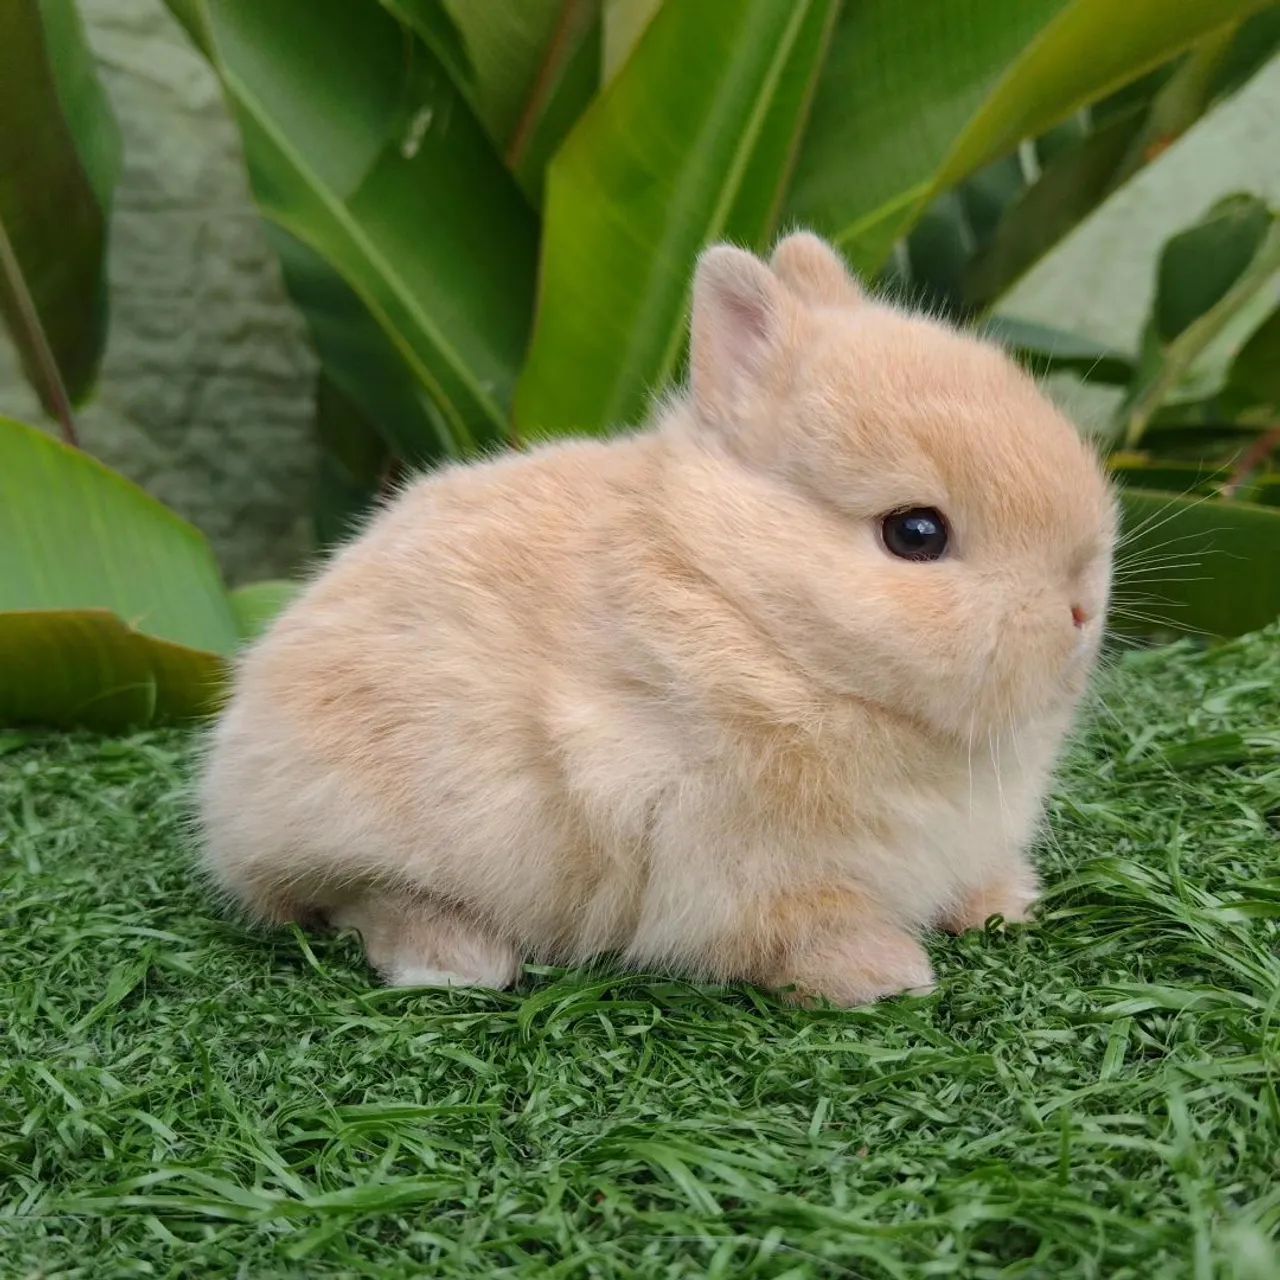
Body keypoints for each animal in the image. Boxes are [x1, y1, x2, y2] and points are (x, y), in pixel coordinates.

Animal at [199, 231, 1114, 1006]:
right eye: (915, 533)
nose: (1081, 608)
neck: (758, 620)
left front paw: (1006, 904)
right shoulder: (739, 866)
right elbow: (799, 928)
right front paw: (885, 974)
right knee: (357, 897)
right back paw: (455, 960)